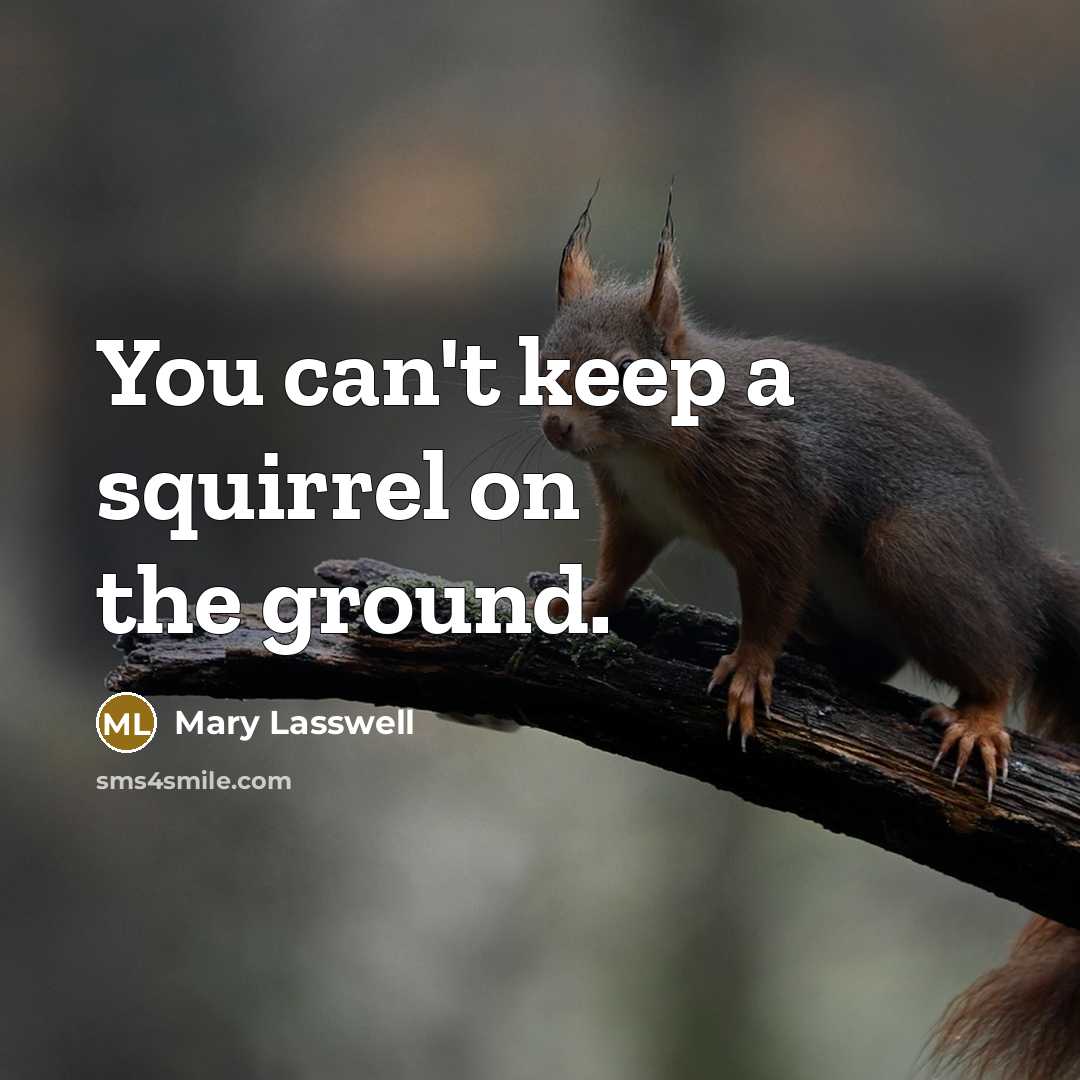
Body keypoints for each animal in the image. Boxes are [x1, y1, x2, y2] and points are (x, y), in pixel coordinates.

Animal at [539, 189, 1080, 1080]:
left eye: (616, 372)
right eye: (541, 359)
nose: (555, 428)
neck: (654, 442)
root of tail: (1025, 570)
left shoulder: (776, 499)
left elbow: (770, 591)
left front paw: (752, 668)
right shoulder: (634, 508)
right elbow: (620, 568)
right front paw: (580, 603)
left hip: (917, 553)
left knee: (995, 651)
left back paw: (978, 716)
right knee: (877, 657)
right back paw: (821, 655)